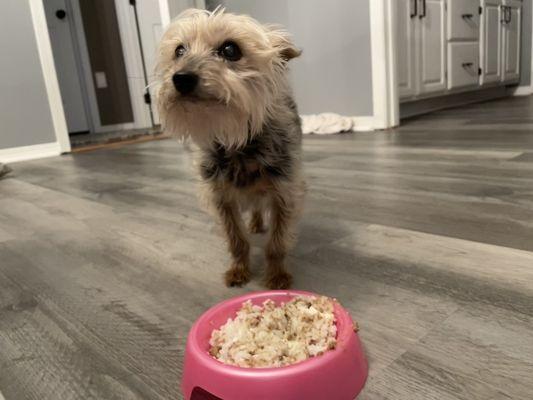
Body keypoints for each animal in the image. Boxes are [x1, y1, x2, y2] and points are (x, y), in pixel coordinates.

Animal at [155, 7, 304, 290]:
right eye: (179, 51)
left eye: (230, 49)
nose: (181, 78)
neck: (238, 142)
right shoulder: (220, 197)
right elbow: (236, 239)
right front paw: (238, 270)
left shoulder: (284, 191)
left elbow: (277, 242)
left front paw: (277, 276)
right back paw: (255, 223)